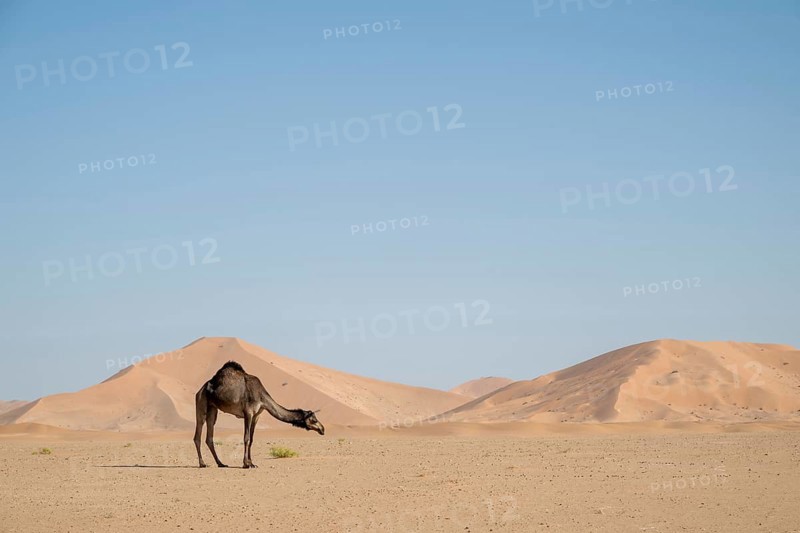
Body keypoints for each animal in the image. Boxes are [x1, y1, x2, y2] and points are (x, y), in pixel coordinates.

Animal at [194, 361, 324, 468]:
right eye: (313, 419)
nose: (322, 429)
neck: (262, 398)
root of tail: (201, 389)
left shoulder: (257, 415)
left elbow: (251, 439)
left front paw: (252, 463)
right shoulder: (248, 412)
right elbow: (246, 438)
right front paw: (246, 464)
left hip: (213, 409)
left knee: (210, 433)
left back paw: (221, 463)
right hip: (201, 402)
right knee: (198, 432)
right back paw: (202, 463)